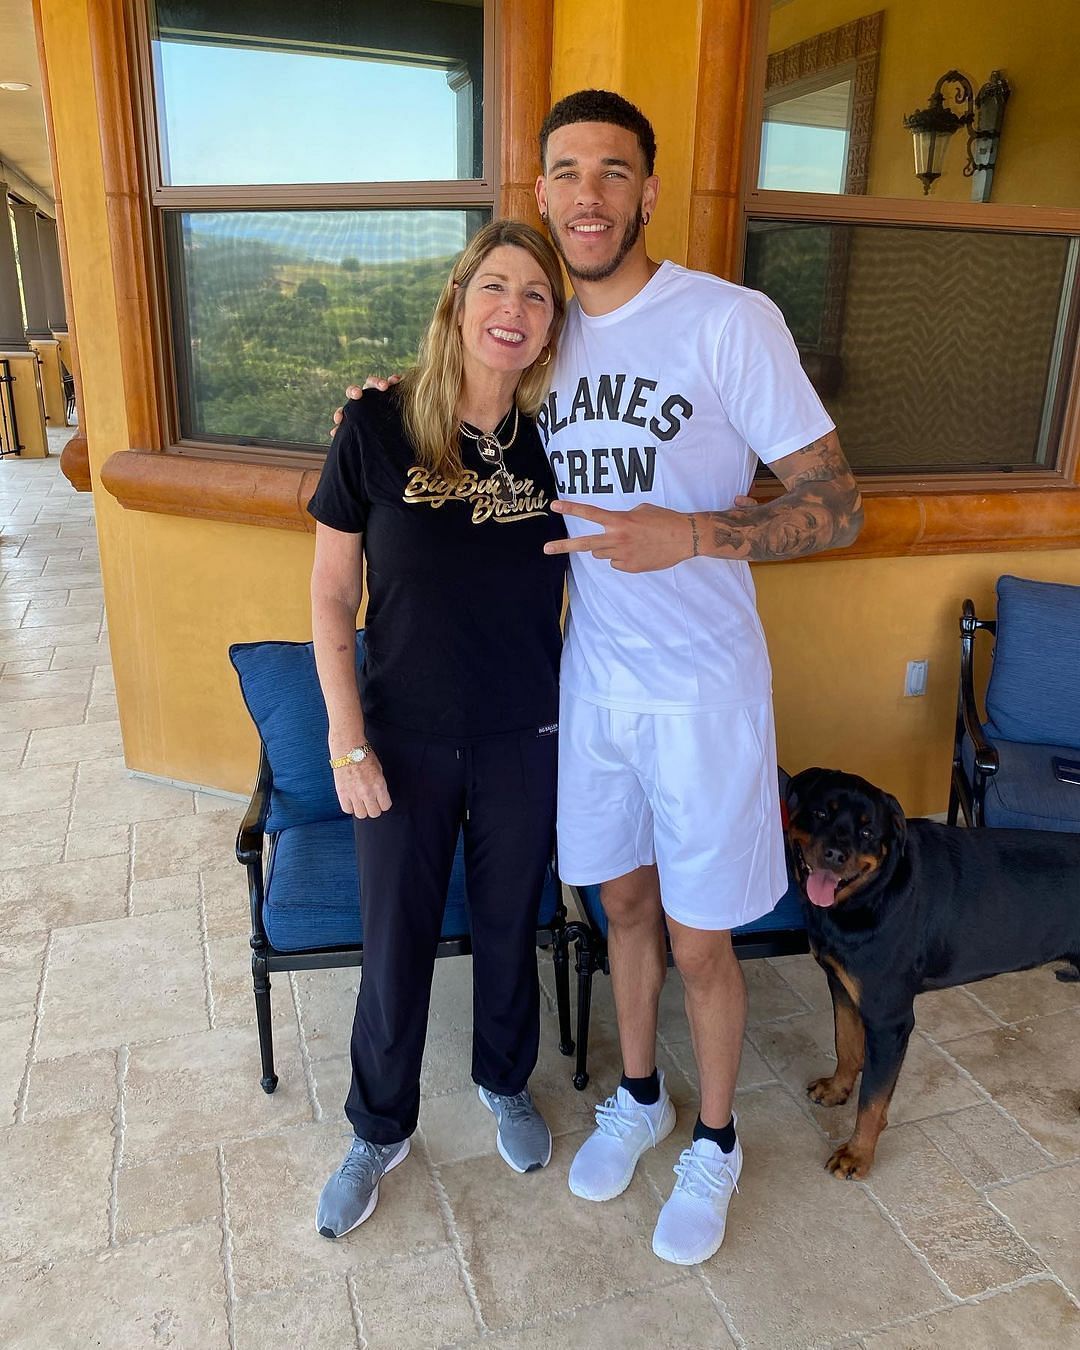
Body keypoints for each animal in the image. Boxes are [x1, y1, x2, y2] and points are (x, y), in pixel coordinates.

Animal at [783, 772, 1080, 1182]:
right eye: (821, 813)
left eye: (867, 832)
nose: (835, 855)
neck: (874, 892)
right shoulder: (841, 986)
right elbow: (846, 1044)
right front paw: (837, 1088)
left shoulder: (889, 1019)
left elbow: (872, 1100)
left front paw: (857, 1154)